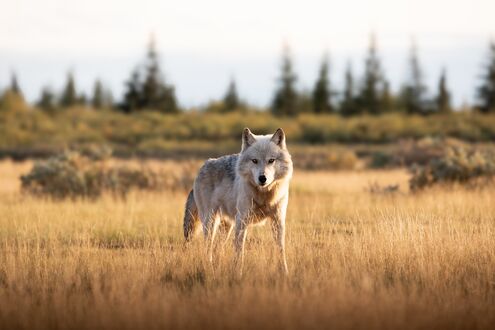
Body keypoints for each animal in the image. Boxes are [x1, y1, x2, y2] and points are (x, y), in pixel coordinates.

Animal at [186, 127, 294, 274]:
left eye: (271, 160)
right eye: (254, 160)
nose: (262, 178)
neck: (264, 196)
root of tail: (204, 165)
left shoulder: (278, 220)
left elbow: (280, 250)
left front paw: (284, 273)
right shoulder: (242, 221)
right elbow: (239, 252)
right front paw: (238, 273)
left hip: (226, 227)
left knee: (217, 248)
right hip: (211, 223)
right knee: (208, 248)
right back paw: (210, 268)